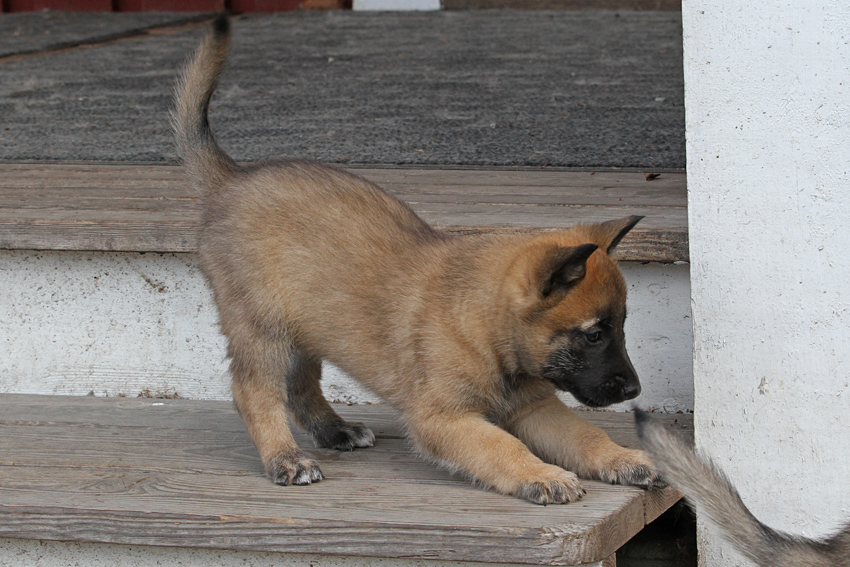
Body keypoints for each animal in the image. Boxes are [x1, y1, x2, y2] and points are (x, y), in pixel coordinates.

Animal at [172, 16, 660, 506]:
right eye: (594, 334)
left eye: (620, 326)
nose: (635, 389)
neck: (485, 326)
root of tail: (232, 178)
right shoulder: (443, 418)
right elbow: (502, 446)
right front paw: (543, 474)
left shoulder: (535, 405)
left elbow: (584, 434)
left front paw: (623, 459)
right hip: (262, 326)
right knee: (253, 391)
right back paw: (286, 458)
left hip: (307, 324)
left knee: (299, 384)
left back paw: (335, 430)